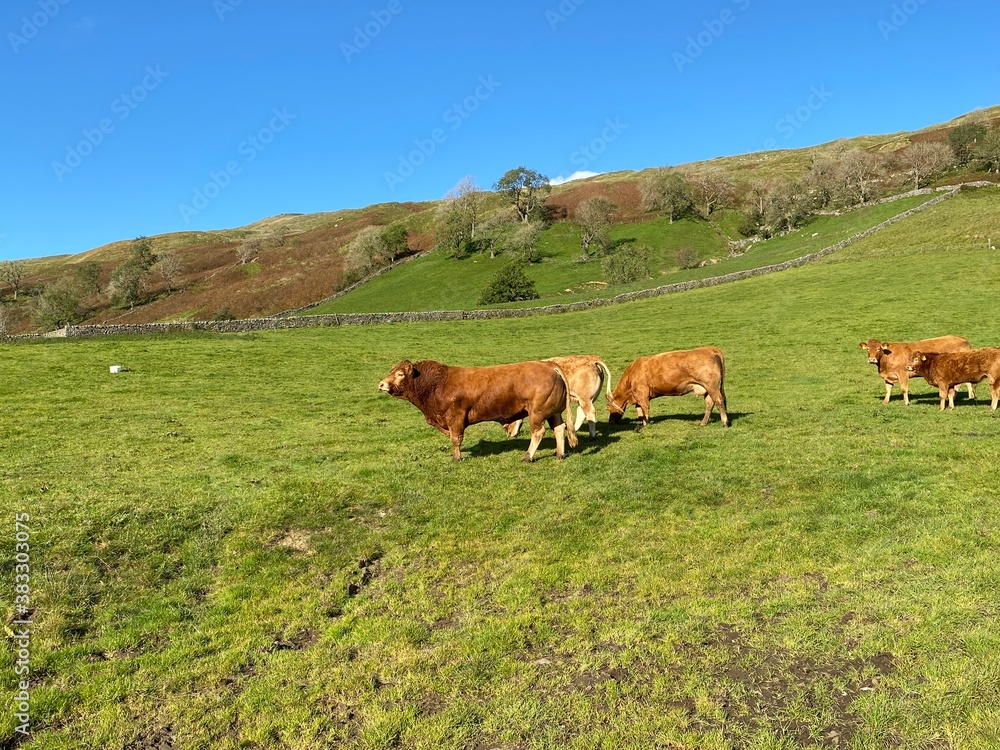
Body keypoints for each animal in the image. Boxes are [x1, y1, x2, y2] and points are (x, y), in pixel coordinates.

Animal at [378, 359, 578, 462]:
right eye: (391, 371)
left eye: (400, 374)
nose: (381, 384)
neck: (436, 385)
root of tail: (549, 365)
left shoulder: (456, 417)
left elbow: (455, 439)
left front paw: (457, 458)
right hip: (553, 412)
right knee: (559, 429)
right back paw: (560, 453)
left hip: (537, 413)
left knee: (538, 432)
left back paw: (528, 456)